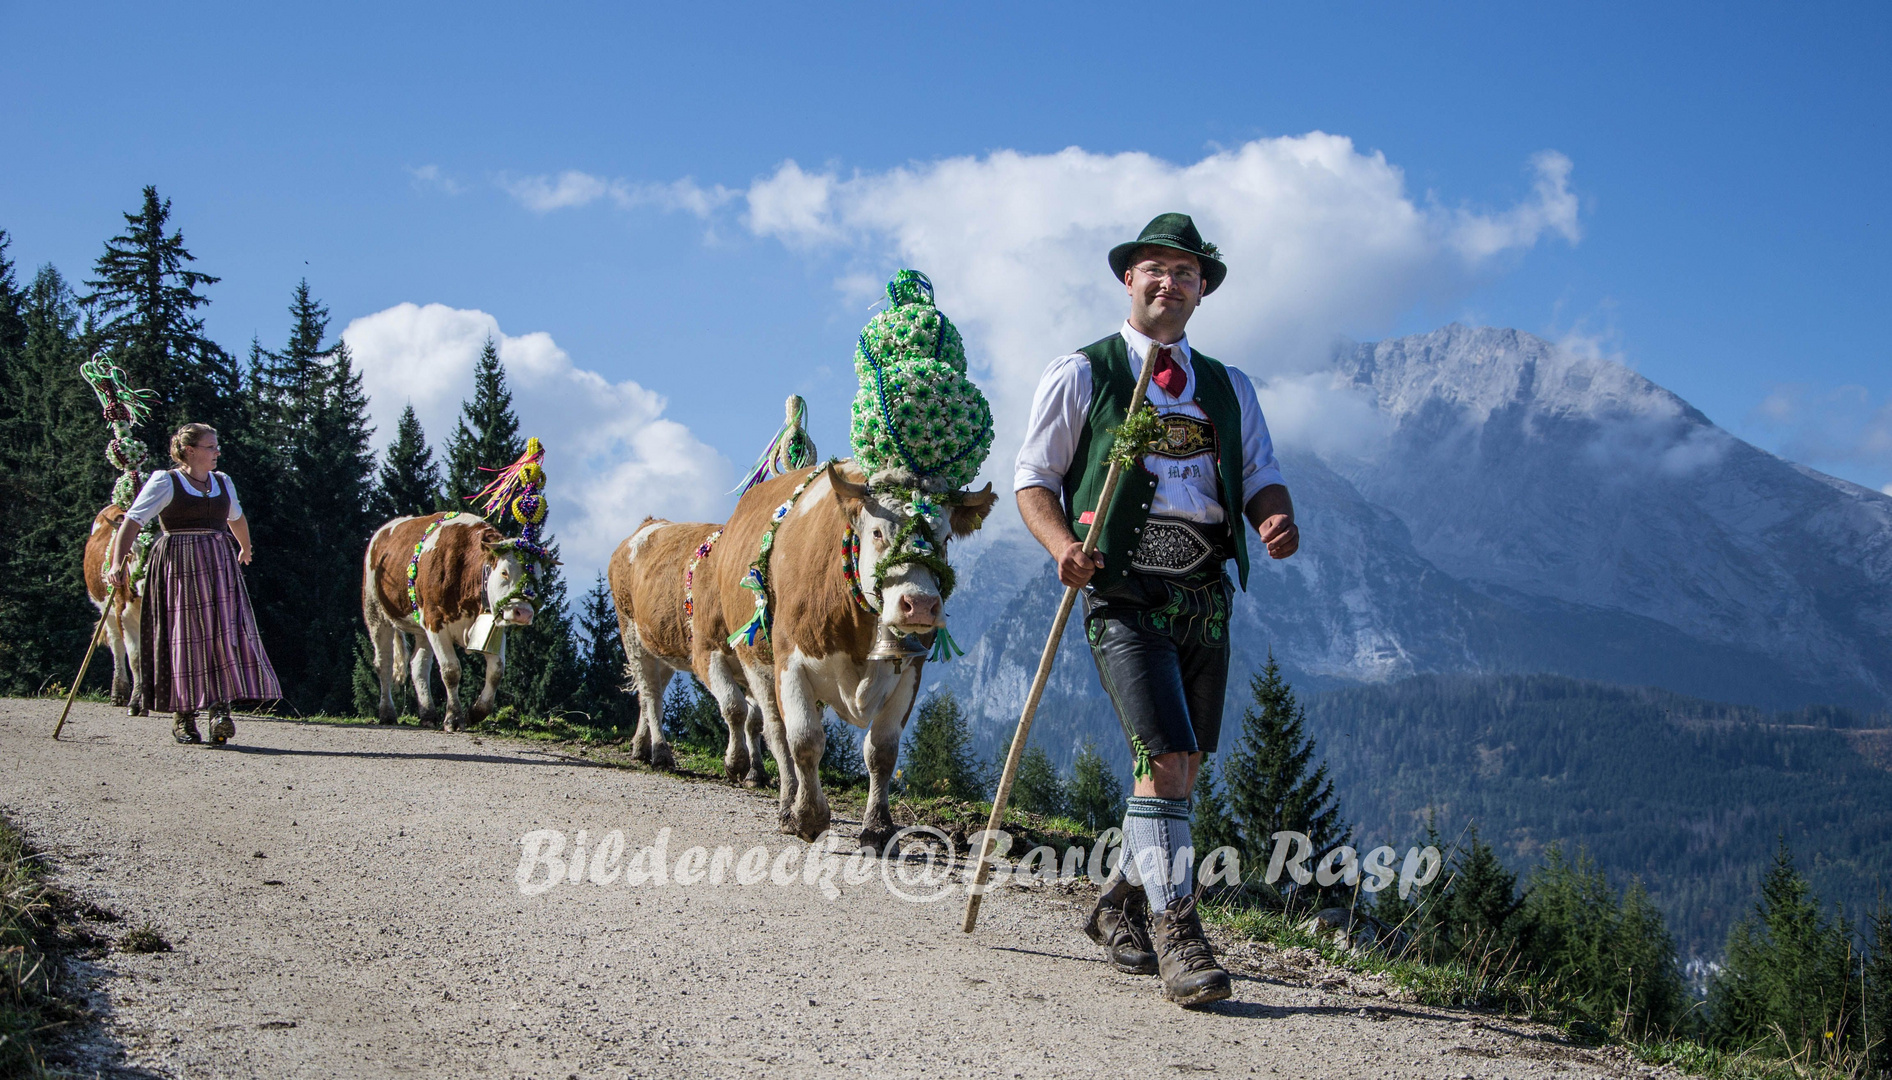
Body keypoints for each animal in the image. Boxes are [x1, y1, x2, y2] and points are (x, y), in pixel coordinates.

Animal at [81, 506, 145, 714]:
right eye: (130, 551)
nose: (143, 584)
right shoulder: (121, 614)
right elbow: (135, 658)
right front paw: (136, 702)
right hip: (106, 611)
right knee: (116, 644)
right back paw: (119, 694)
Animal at [363, 510, 537, 730]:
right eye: (504, 572)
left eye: (537, 576)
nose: (523, 612)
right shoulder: (435, 622)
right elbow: (451, 670)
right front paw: (454, 718)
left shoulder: (495, 627)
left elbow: (496, 671)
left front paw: (475, 713)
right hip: (375, 611)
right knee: (384, 663)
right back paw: (387, 713)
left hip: (421, 627)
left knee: (418, 666)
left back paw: (428, 714)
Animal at [616, 518, 771, 783]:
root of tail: (649, 523)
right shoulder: (706, 654)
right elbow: (734, 707)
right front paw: (736, 763)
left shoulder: (751, 665)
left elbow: (755, 721)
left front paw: (756, 772)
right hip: (631, 635)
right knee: (651, 697)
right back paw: (661, 754)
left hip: (663, 649)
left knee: (649, 693)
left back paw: (640, 747)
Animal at [684, 455, 1006, 843]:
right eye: (878, 533)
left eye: (944, 538)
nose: (920, 604)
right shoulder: (790, 663)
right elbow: (804, 740)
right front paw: (809, 816)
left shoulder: (910, 672)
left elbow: (882, 751)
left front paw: (879, 826)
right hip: (755, 665)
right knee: (774, 733)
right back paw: (786, 806)